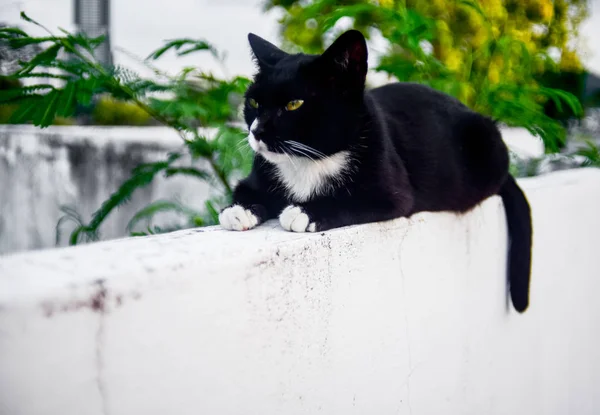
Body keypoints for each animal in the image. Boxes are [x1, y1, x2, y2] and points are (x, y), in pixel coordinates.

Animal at [219, 29, 528, 312]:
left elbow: (349, 199)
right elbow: (246, 190)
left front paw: (304, 212)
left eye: (294, 104)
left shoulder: (392, 191)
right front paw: (239, 210)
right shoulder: (258, 174)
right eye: (254, 102)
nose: (256, 131)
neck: (308, 159)